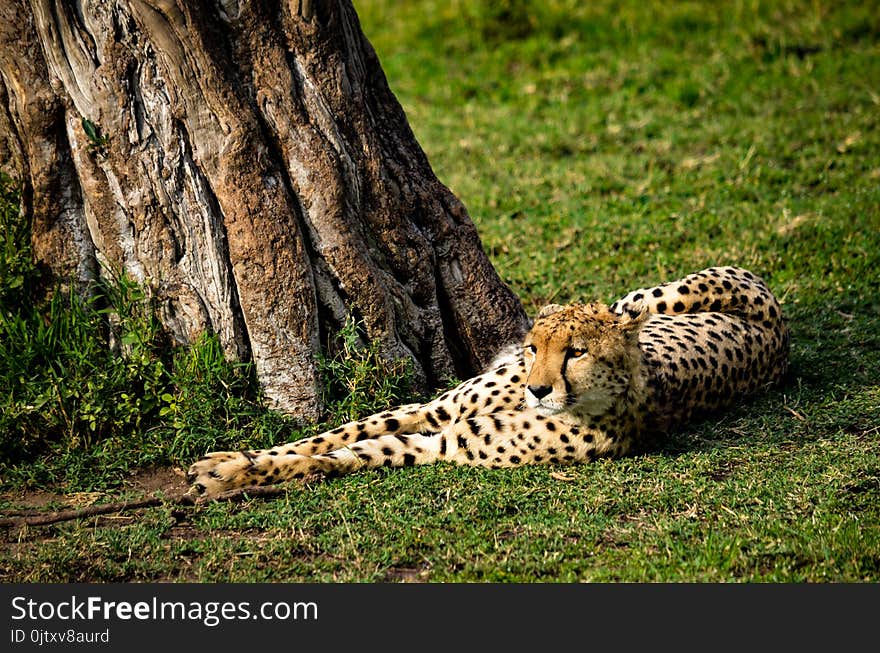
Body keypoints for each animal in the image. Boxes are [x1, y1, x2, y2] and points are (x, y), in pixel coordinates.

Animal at [186, 264, 792, 494]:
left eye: (577, 353)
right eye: (535, 348)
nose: (537, 387)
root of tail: (782, 337)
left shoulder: (444, 442)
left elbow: (348, 454)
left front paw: (228, 476)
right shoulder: (437, 410)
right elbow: (334, 434)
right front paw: (228, 460)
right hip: (648, 296)